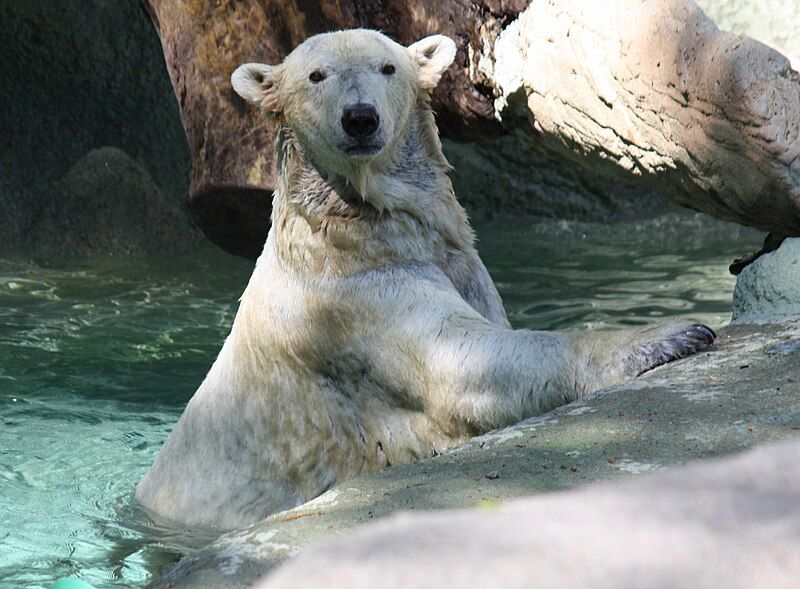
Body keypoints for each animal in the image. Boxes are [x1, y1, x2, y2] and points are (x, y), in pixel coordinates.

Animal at [134, 28, 716, 528]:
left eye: (387, 67)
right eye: (316, 75)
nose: (360, 118)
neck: (354, 225)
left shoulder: (450, 262)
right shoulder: (351, 303)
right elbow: (467, 365)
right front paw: (673, 334)